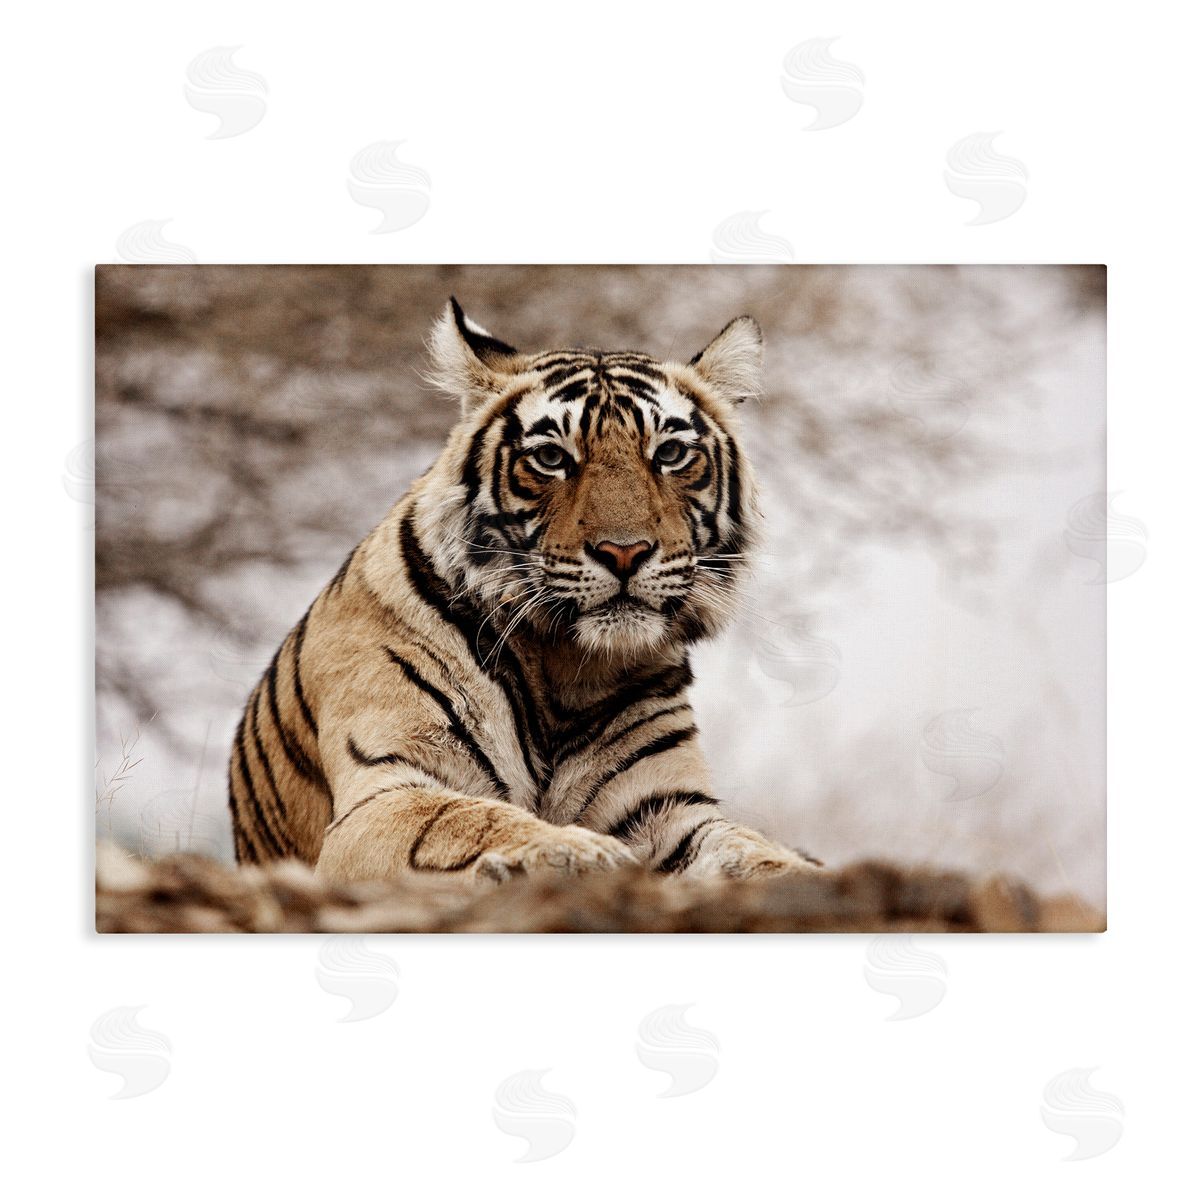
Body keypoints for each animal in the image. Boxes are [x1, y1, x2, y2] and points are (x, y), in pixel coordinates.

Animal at [227, 299, 821, 883]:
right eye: (552, 458)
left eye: (671, 453)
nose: (624, 552)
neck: (568, 669)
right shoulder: (384, 792)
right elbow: (468, 819)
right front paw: (579, 852)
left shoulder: (666, 805)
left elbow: (747, 848)